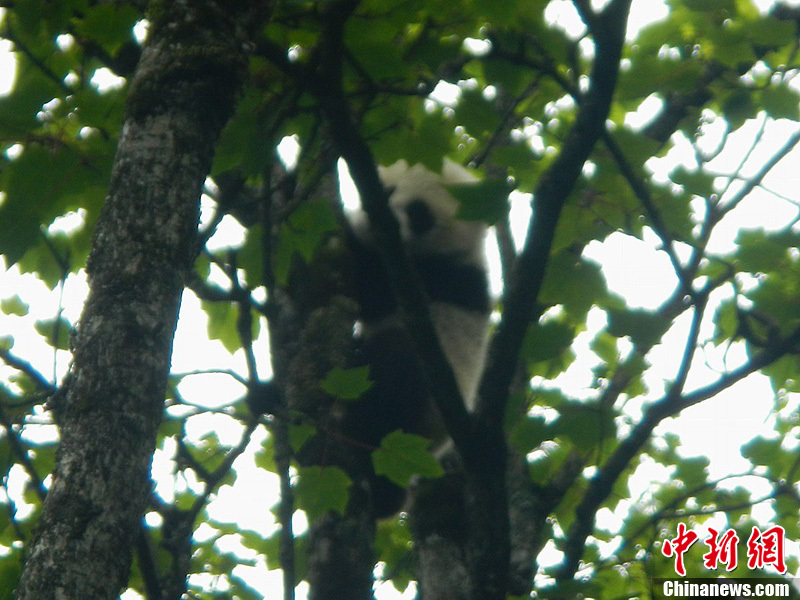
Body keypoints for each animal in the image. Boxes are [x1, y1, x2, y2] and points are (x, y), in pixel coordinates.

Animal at [342, 159, 488, 516]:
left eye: (420, 215)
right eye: (387, 189)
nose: (380, 223)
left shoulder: (434, 277)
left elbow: (370, 288)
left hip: (424, 406)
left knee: (395, 372)